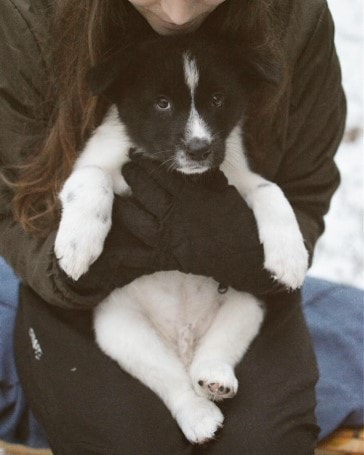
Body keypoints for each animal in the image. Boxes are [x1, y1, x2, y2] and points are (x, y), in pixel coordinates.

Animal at [54, 36, 308, 446]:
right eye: (162, 103)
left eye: (218, 99)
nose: (199, 149)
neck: (179, 175)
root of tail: (184, 343)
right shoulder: (89, 167)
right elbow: (92, 178)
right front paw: (78, 246)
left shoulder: (238, 179)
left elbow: (272, 190)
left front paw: (290, 257)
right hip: (121, 331)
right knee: (174, 383)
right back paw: (199, 415)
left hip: (246, 306)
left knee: (211, 355)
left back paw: (215, 379)